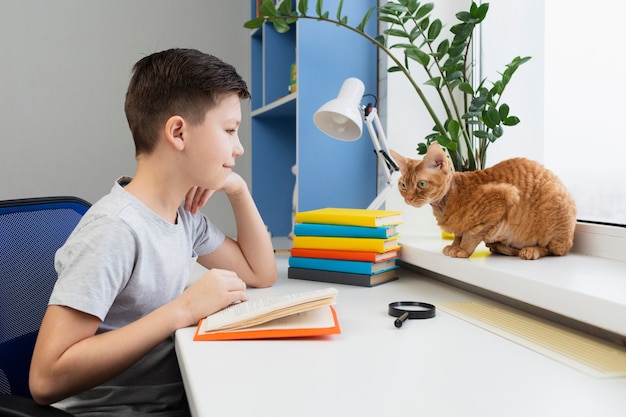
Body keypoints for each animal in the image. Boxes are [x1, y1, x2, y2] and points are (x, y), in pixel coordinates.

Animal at [390, 144, 576, 260]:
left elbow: (471, 234)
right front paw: (454, 245)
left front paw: (462, 249)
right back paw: (501, 248)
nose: (408, 198)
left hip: (552, 199)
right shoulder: (460, 225)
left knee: (553, 250)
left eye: (421, 184)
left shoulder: (505, 196)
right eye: (403, 185)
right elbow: (459, 234)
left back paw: (530, 250)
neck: (444, 204)